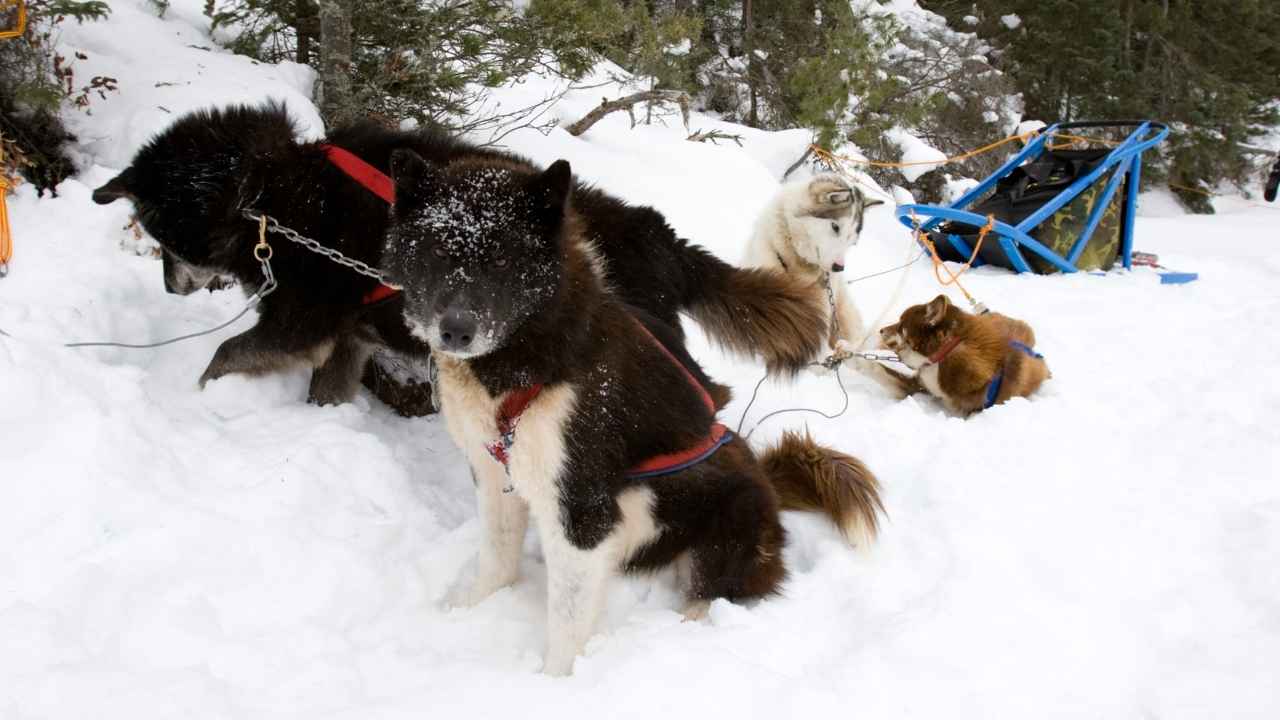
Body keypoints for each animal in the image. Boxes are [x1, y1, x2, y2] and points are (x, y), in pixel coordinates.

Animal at [92, 103, 829, 412]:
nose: (169, 288)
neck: (271, 195)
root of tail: (660, 238)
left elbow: (221, 358)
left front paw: (195, 401)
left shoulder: (300, 322)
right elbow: (325, 387)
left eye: (158, 237)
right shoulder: (345, 336)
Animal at [373, 149, 885, 671]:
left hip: (723, 514)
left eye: (502, 259)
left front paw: (555, 680)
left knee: (718, 590)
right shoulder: (496, 473)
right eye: (439, 252)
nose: (456, 330)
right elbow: (496, 559)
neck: (530, 358)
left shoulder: (581, 507)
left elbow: (566, 624)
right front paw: (466, 610)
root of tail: (767, 480)